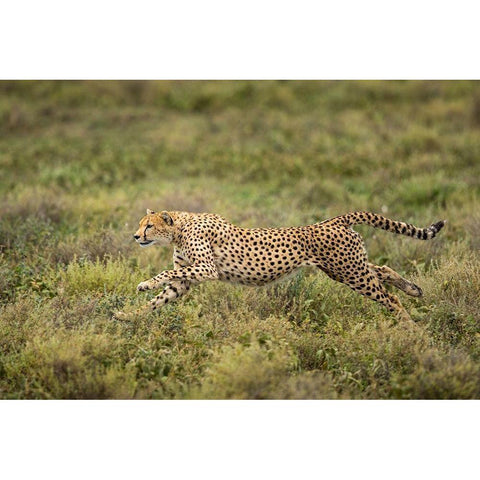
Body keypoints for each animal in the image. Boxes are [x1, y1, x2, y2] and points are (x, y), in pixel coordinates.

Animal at [114, 209, 444, 322]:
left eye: (149, 225)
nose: (135, 236)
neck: (180, 227)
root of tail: (335, 219)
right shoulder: (187, 280)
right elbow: (160, 299)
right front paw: (128, 316)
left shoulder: (207, 269)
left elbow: (167, 272)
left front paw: (144, 283)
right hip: (344, 269)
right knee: (383, 271)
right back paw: (414, 290)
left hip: (350, 272)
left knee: (389, 298)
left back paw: (411, 330)